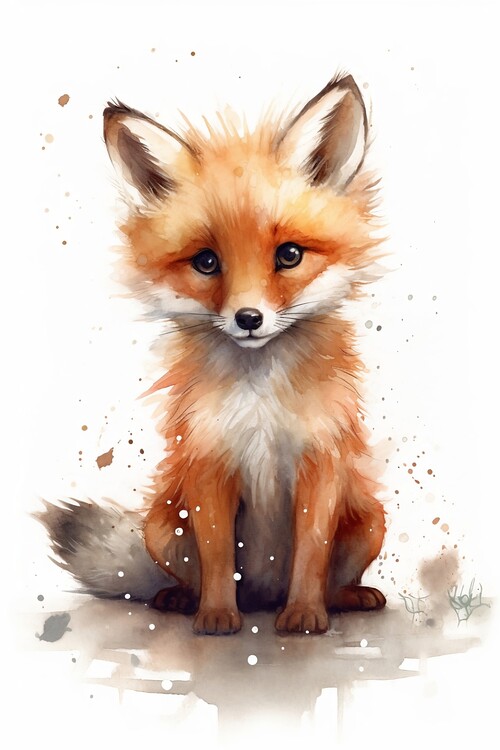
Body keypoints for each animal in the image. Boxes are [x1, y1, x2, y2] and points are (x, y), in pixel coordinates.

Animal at [40, 73, 387, 635]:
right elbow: (217, 554)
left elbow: (312, 552)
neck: (261, 402)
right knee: (188, 573)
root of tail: (264, 594)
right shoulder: (209, 463)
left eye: (289, 255)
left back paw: (344, 598)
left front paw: (305, 614)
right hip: (161, 527)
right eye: (206, 262)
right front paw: (218, 616)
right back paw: (184, 599)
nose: (248, 319)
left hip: (371, 521)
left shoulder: (320, 461)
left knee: (334, 577)